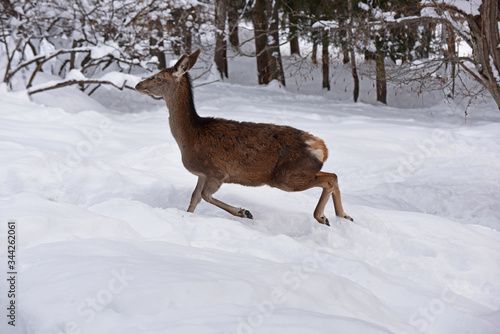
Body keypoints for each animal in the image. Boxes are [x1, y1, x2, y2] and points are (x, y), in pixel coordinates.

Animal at [133, 49, 352, 227]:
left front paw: (243, 212)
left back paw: (322, 217)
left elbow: (205, 196)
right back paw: (344, 216)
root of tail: (321, 148)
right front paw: (187, 217)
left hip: (287, 176)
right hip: (297, 172)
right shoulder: (202, 174)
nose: (137, 85)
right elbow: (194, 198)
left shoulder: (216, 171)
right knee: (333, 176)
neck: (189, 137)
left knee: (330, 178)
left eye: (159, 78)